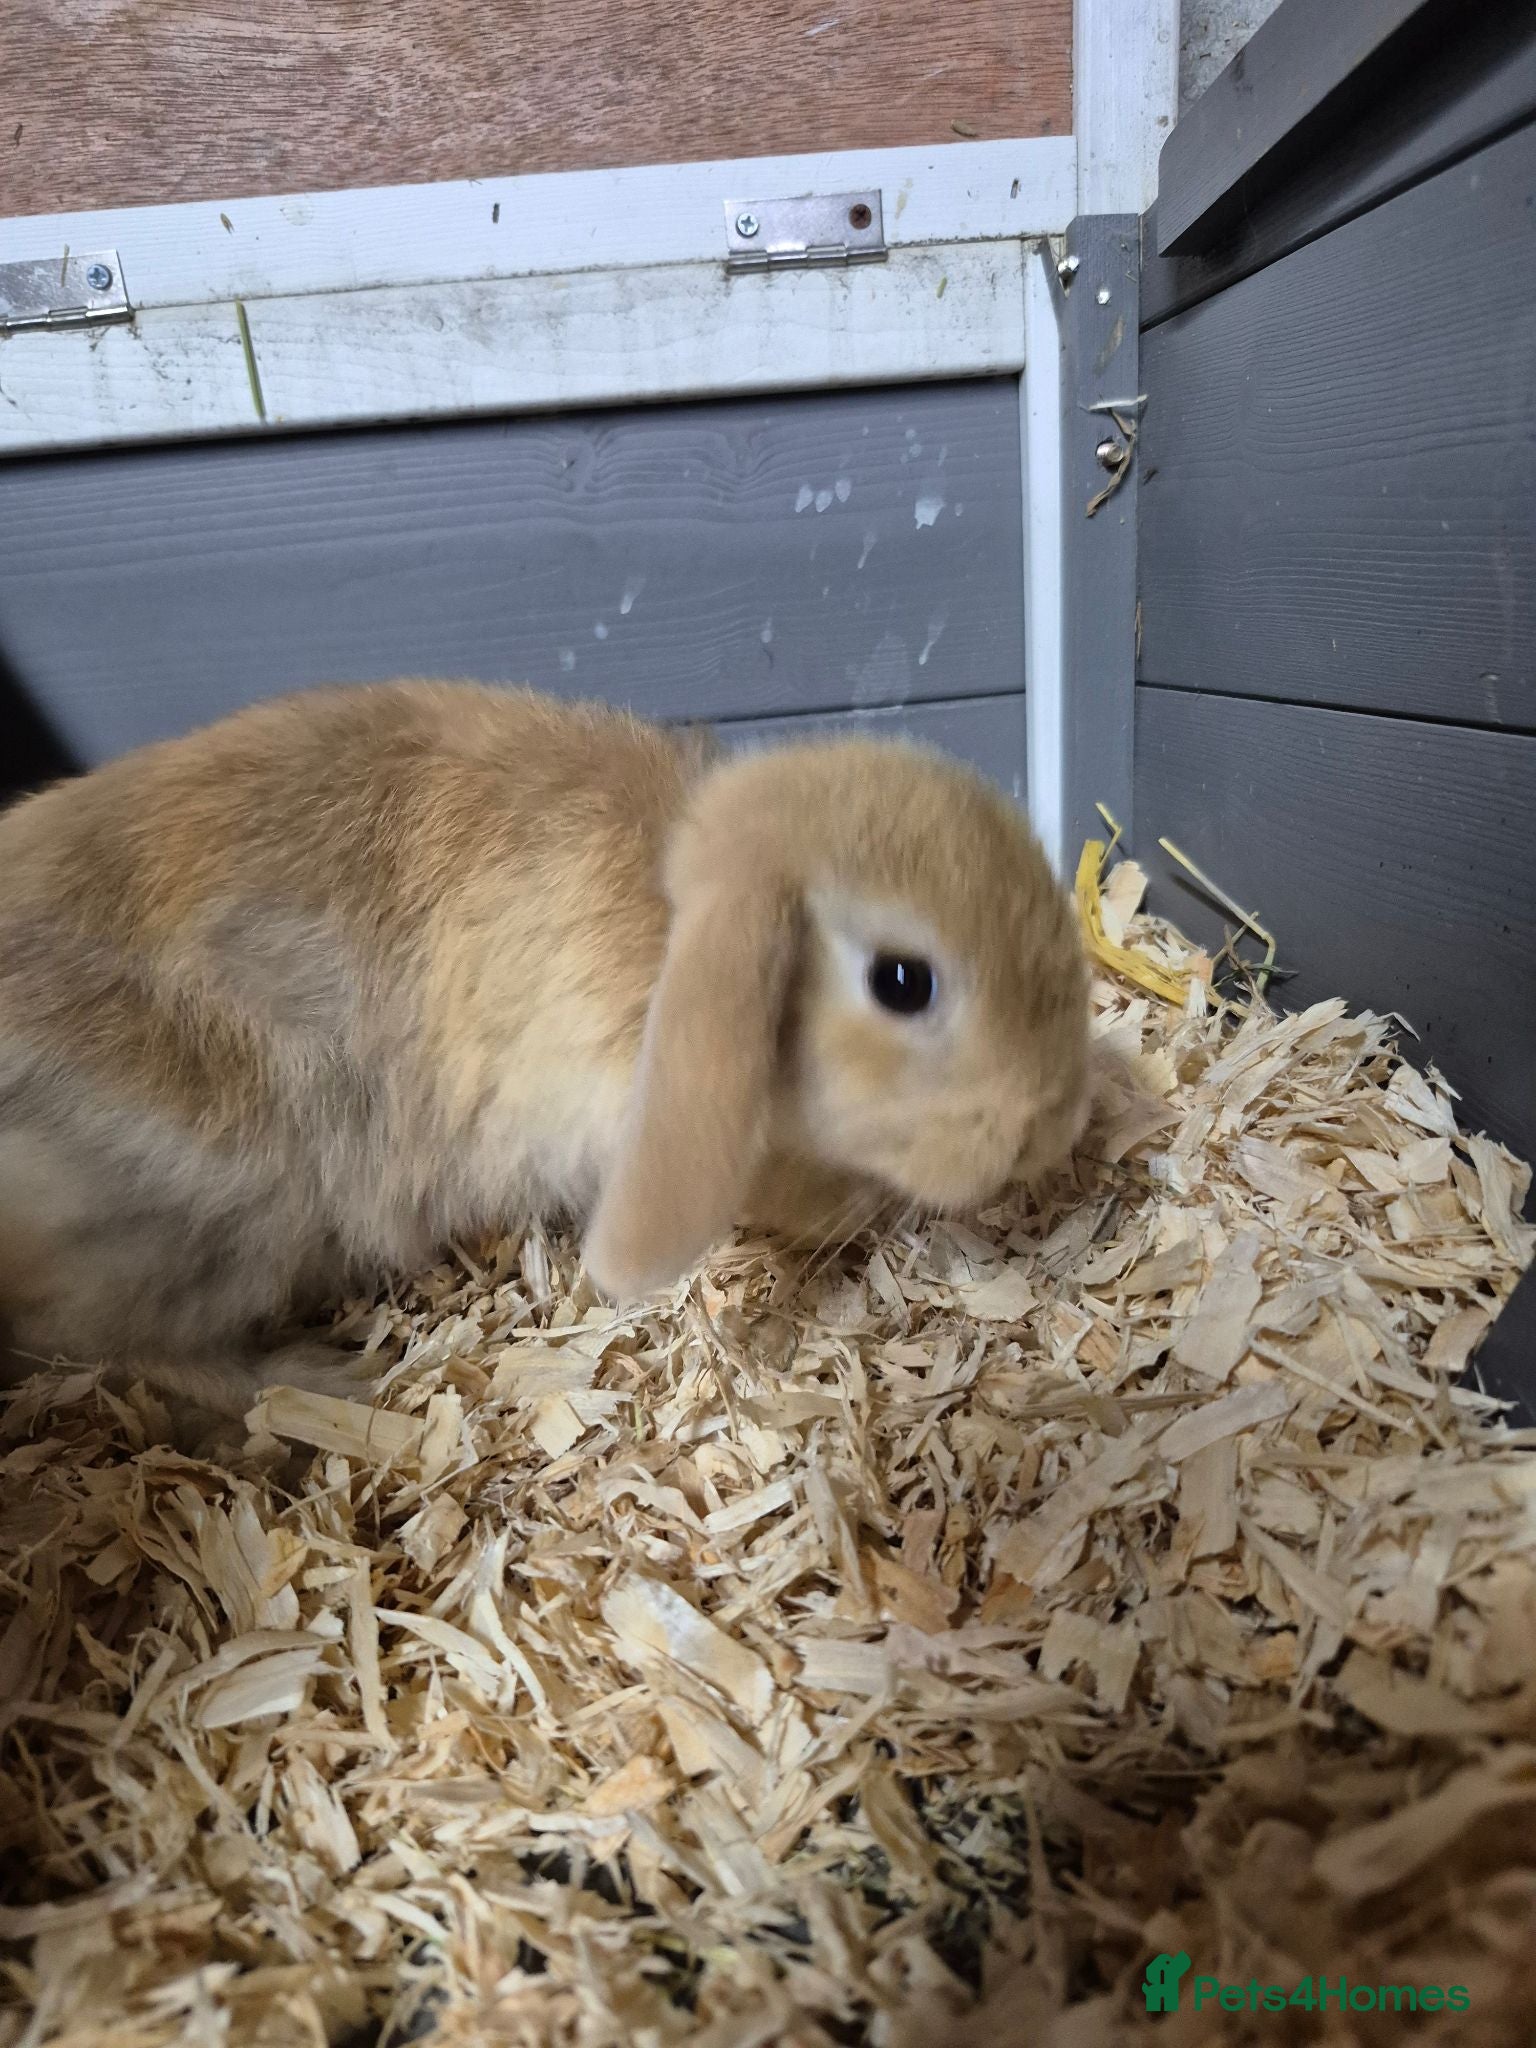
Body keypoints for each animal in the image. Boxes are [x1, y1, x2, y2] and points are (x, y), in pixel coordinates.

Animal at [0, 680, 1090, 1425]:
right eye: (904, 982)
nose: (1058, 1119)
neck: (664, 923)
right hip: (209, 1213)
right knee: (98, 1338)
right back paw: (320, 1381)